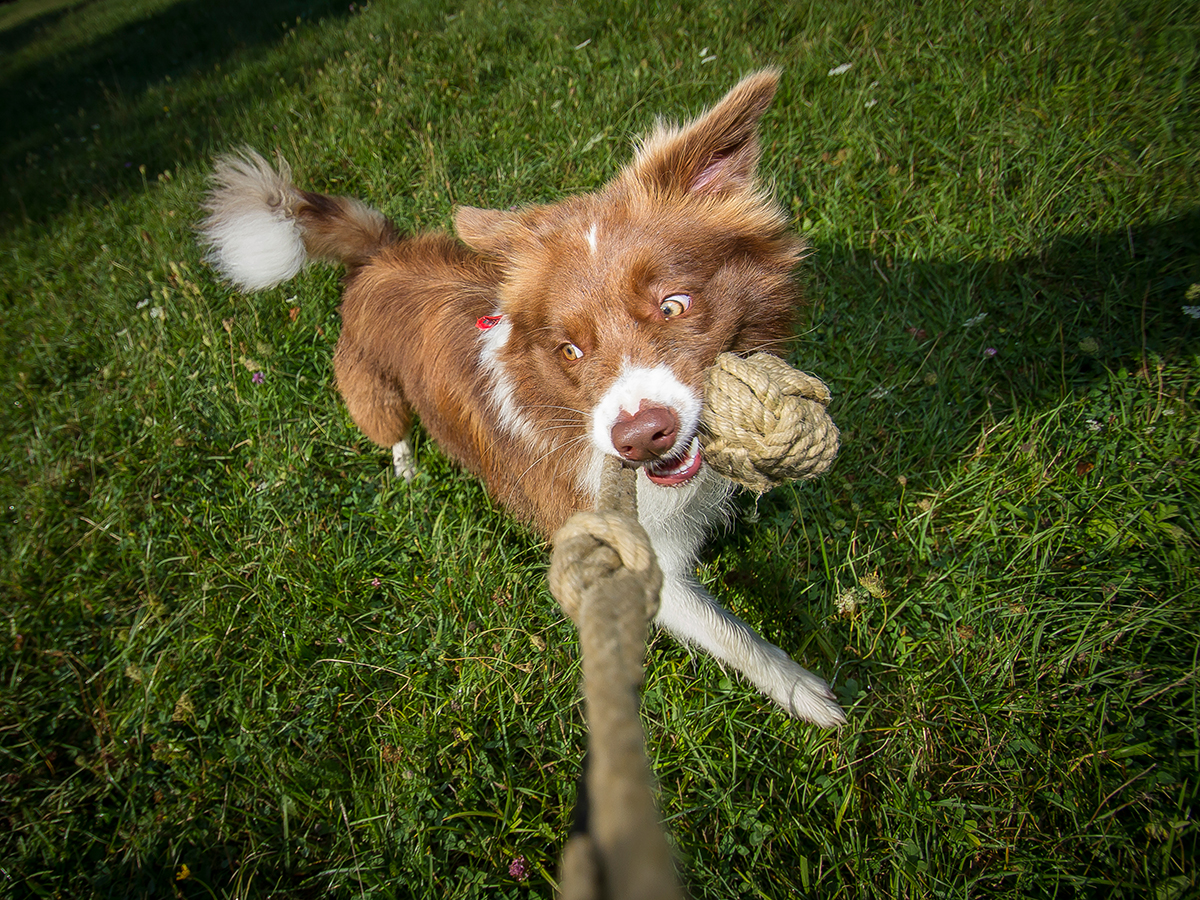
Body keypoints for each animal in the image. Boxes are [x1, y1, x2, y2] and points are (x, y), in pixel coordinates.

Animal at [199, 72, 844, 734]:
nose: (643, 434)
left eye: (674, 304)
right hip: (373, 391)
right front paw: (806, 694)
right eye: (570, 350)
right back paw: (407, 471)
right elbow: (732, 634)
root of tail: (378, 252)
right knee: (393, 431)